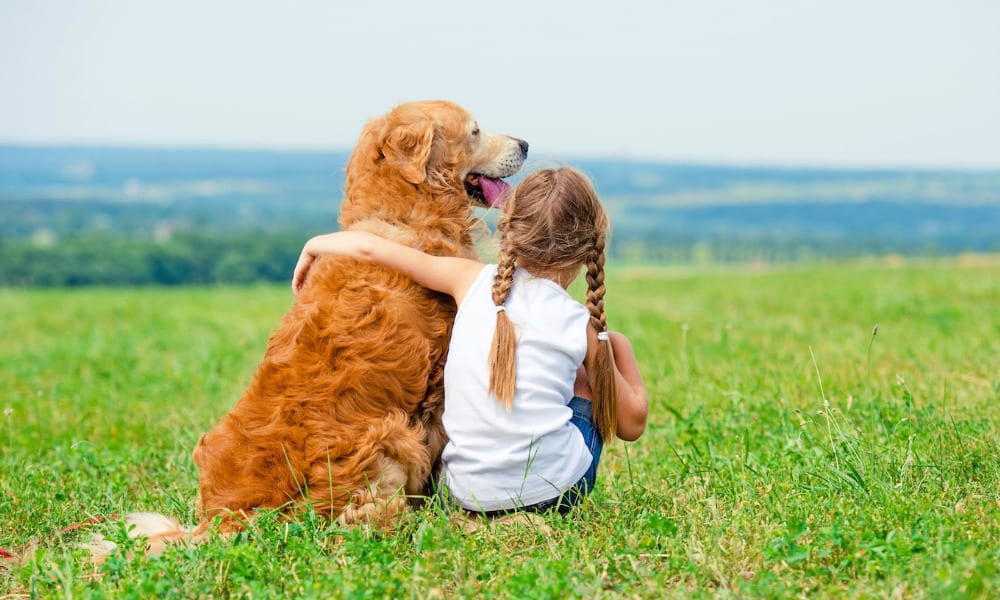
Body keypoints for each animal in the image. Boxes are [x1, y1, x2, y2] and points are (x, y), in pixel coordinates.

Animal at [90, 101, 528, 556]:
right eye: (475, 131)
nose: (526, 144)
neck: (401, 215)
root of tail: (226, 519)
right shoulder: (437, 387)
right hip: (390, 434)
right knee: (375, 522)